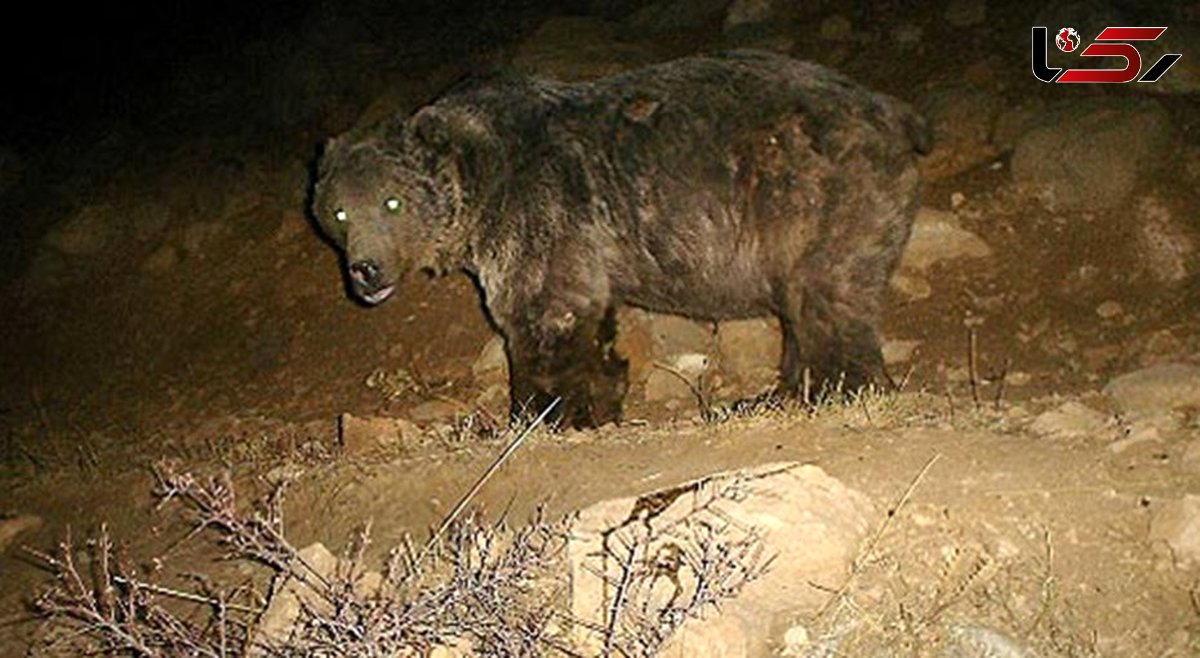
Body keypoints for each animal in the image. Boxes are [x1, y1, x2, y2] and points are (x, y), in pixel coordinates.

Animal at [309, 52, 926, 432]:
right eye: (338, 212)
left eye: (392, 203)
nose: (366, 269)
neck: (480, 174)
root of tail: (895, 112)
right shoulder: (579, 244)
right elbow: (589, 316)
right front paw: (599, 397)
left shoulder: (538, 211)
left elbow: (542, 312)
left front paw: (538, 413)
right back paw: (778, 393)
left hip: (812, 197)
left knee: (823, 295)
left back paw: (835, 388)